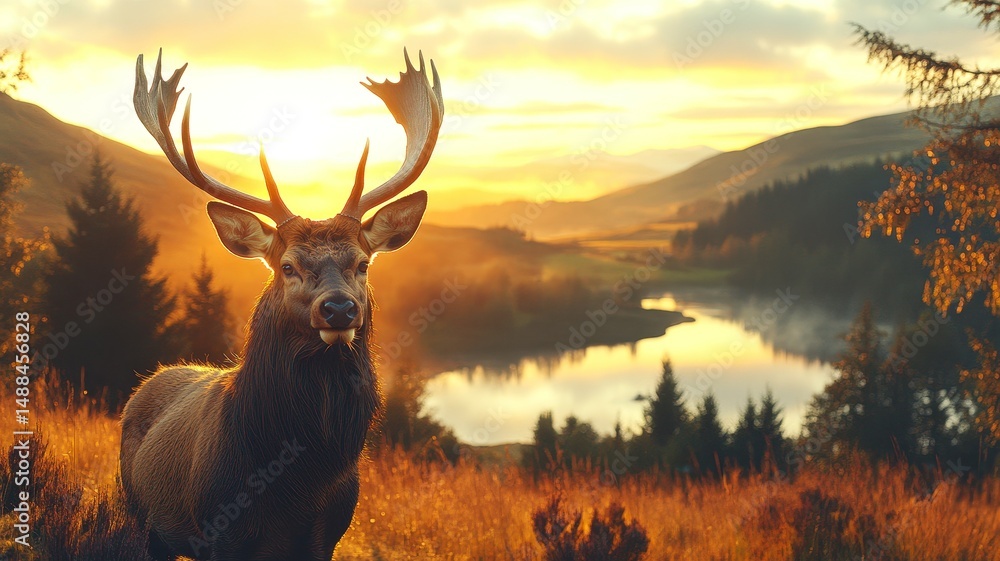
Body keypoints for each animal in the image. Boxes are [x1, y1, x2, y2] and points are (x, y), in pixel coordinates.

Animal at [119, 48, 443, 560]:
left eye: (362, 263)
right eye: (287, 266)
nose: (339, 310)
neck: (298, 483)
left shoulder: (327, 535)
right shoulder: (219, 532)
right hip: (141, 517)